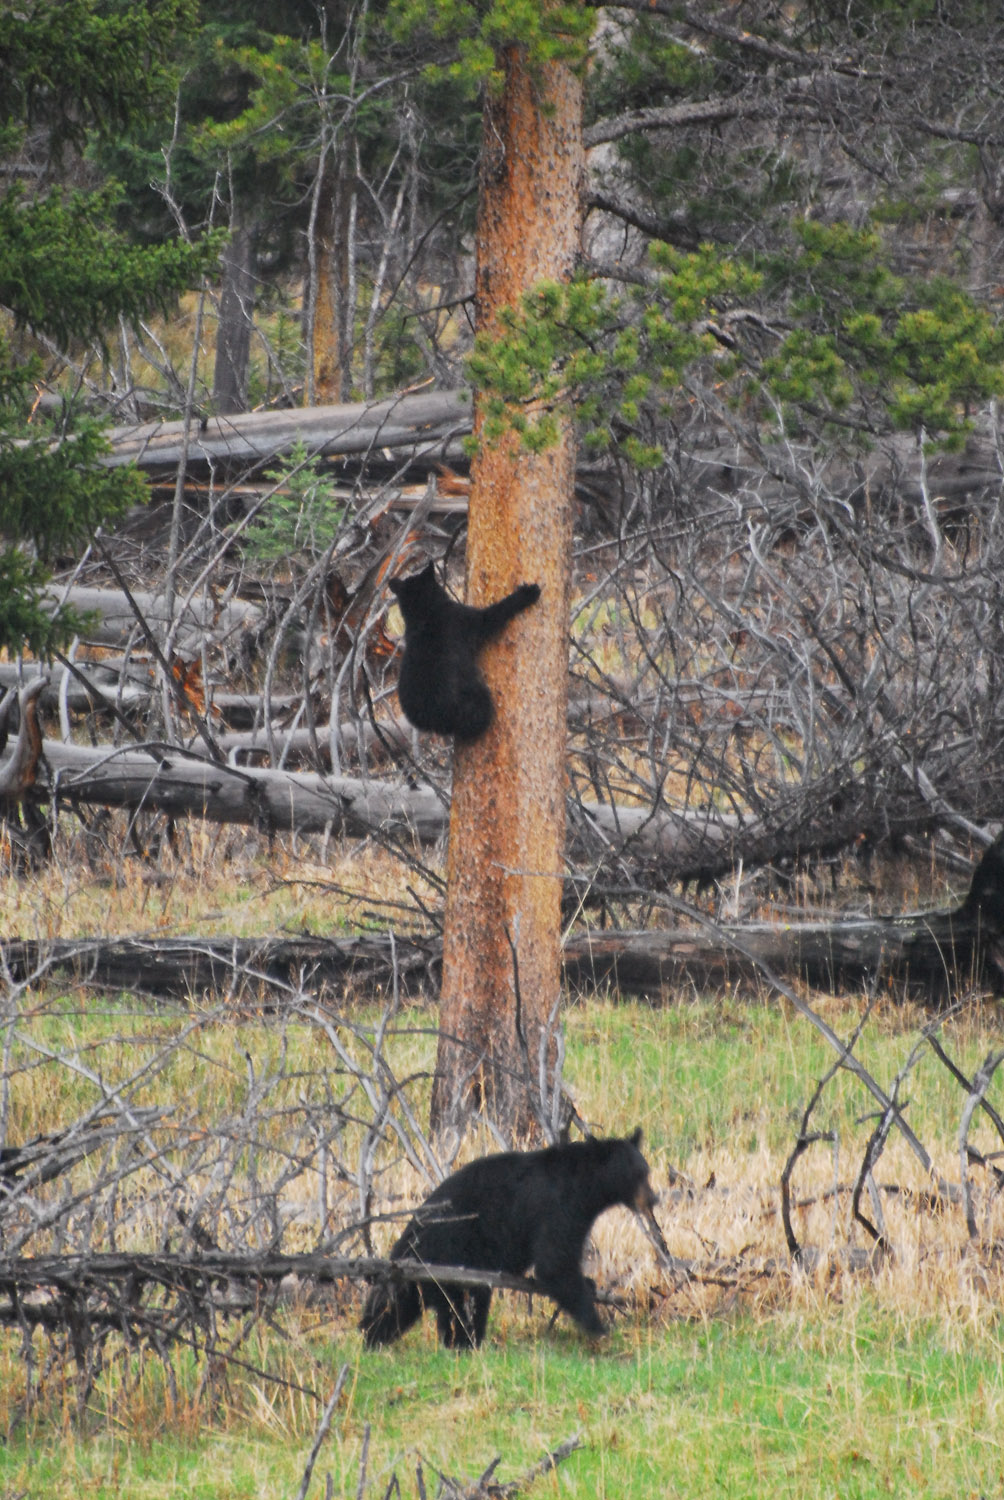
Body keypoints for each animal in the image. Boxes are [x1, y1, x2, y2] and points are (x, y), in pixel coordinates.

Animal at [355, 1128, 654, 1356]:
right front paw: (598, 1327)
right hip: (449, 1255)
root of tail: (405, 1248)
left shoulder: (579, 1216)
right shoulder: (556, 1208)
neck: (585, 1188)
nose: (654, 1199)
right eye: (637, 1175)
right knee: (454, 1306)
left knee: (416, 1308)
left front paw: (590, 1286)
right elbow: (553, 1263)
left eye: (646, 1171)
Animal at [387, 561, 540, 741]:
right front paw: (528, 593)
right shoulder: (460, 618)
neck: (423, 614)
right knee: (481, 711)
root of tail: (434, 717)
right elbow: (489, 617)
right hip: (468, 696)